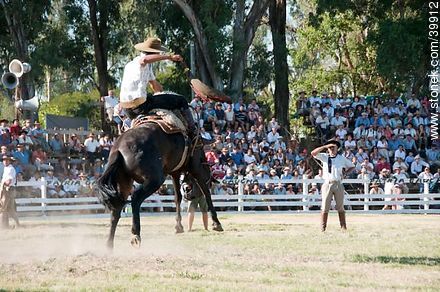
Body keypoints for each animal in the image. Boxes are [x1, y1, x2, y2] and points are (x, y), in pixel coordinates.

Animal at [96, 114, 223, 249]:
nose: (189, 193)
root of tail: (119, 149)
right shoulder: (196, 168)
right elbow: (206, 192)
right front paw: (216, 223)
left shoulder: (175, 172)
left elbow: (177, 197)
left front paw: (178, 226)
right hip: (155, 179)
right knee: (135, 198)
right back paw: (136, 234)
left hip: (124, 182)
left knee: (116, 209)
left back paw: (109, 244)